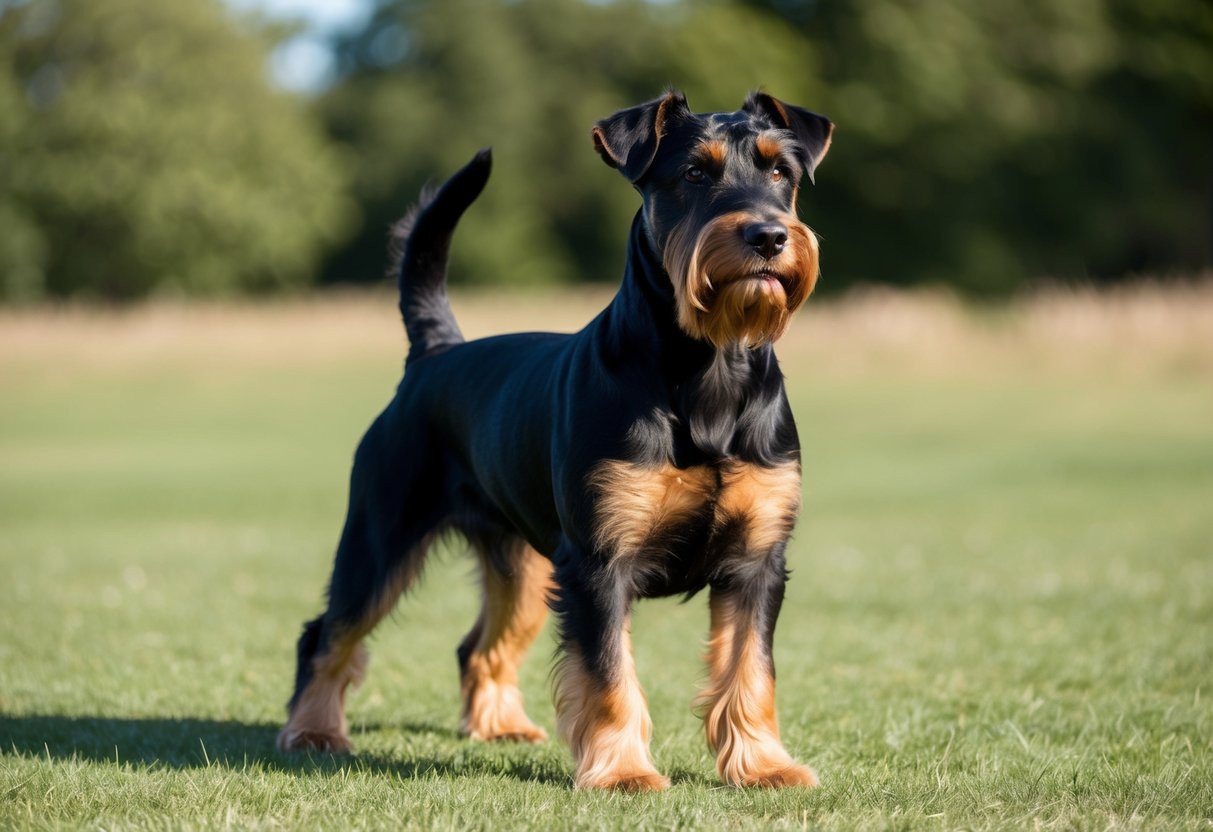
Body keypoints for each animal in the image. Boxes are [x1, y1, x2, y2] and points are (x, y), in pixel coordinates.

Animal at [277, 90, 834, 795]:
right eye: (694, 173)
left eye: (781, 173)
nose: (768, 235)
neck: (709, 368)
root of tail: (434, 353)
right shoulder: (598, 566)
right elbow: (610, 676)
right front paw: (623, 771)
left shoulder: (757, 561)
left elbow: (750, 671)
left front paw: (763, 764)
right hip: (380, 540)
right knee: (326, 635)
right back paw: (312, 732)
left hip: (521, 565)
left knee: (478, 646)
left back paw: (498, 726)